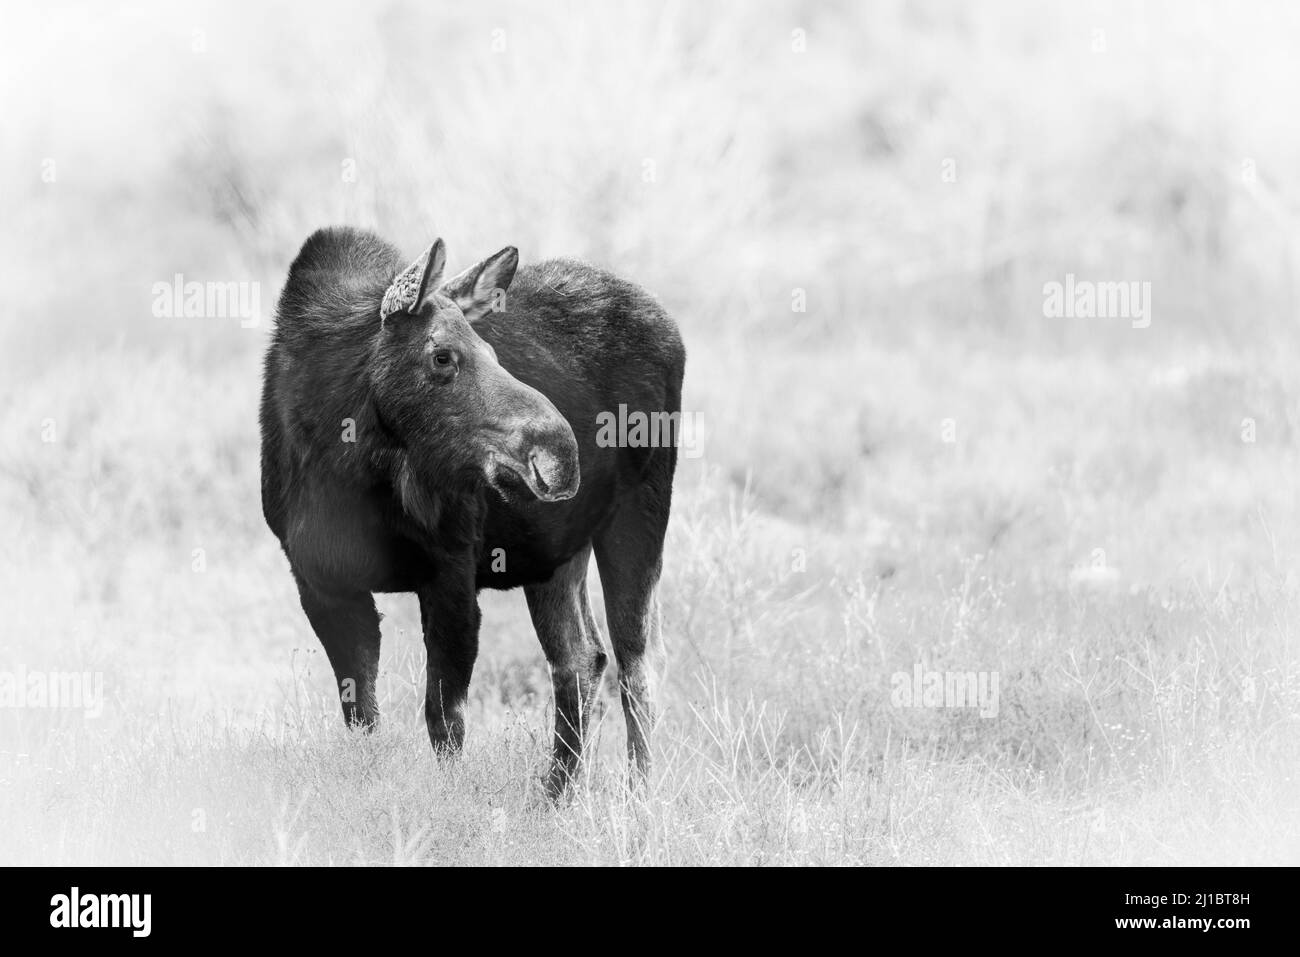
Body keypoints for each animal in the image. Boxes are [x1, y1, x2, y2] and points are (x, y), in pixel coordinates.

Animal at [263, 227, 691, 795]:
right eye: (443, 356)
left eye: (491, 348)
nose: (560, 452)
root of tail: (670, 327)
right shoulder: (321, 582)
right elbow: (362, 714)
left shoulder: (451, 571)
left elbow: (444, 717)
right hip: (556, 548)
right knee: (581, 658)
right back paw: (554, 796)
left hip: (640, 513)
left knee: (639, 663)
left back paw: (637, 798)